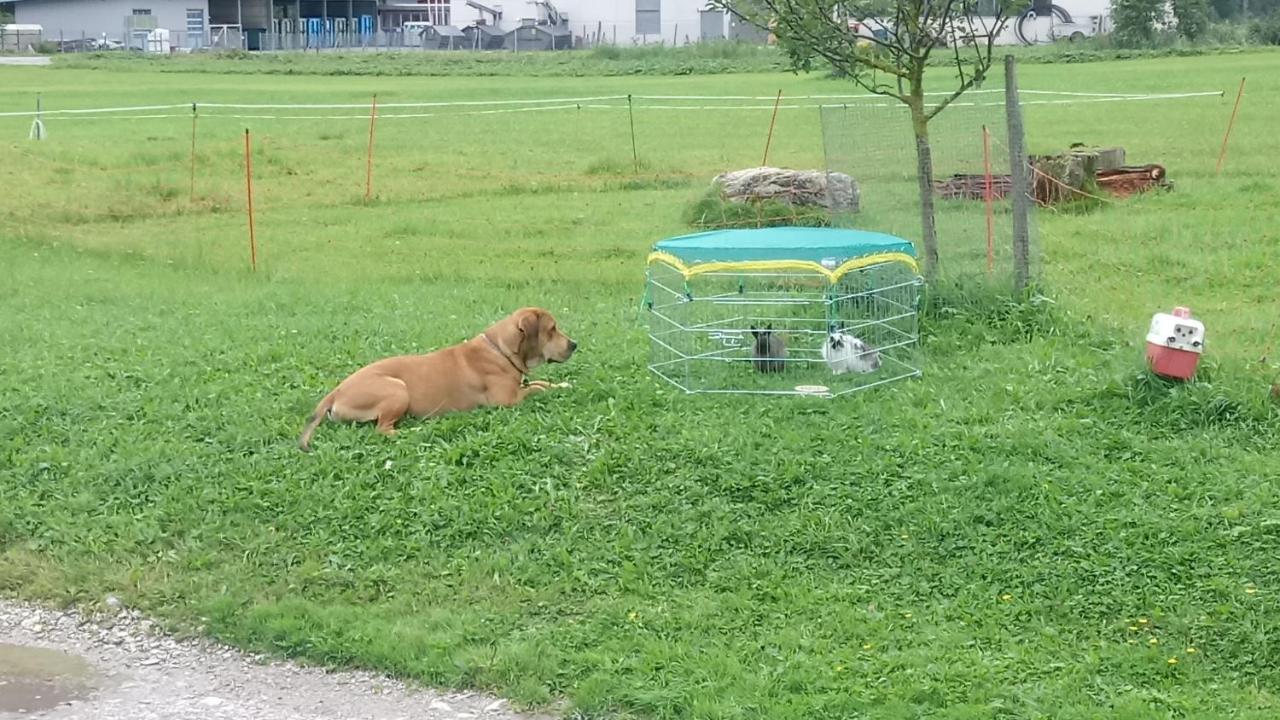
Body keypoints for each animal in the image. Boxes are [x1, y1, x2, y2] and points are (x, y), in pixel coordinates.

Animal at [296, 307, 578, 448]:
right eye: (552, 329)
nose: (574, 345)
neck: (501, 350)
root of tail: (335, 392)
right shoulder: (508, 401)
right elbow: (537, 389)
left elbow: (541, 383)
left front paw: (563, 384)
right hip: (396, 389)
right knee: (383, 430)